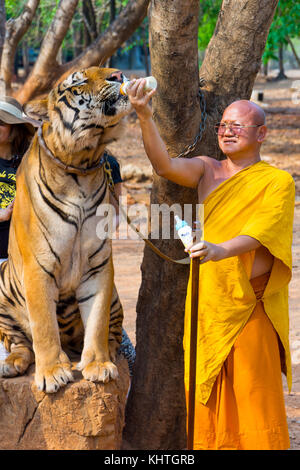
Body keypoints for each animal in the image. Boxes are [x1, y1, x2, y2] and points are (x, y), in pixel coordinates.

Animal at [0, 66, 132, 392]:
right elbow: (44, 326)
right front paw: (51, 373)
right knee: (20, 343)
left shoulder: (99, 266)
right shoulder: (38, 267)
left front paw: (98, 364)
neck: (81, 163)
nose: (119, 75)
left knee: (112, 332)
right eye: (79, 80)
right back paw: (12, 364)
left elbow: (96, 322)